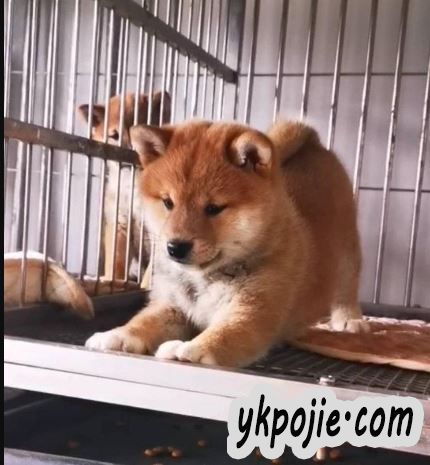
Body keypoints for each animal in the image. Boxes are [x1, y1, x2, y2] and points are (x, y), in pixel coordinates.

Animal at [85, 119, 364, 367]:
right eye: (168, 202)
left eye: (213, 208)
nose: (175, 247)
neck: (206, 277)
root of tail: (314, 144)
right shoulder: (171, 305)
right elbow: (143, 322)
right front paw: (117, 335)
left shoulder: (253, 311)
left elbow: (225, 334)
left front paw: (190, 349)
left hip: (348, 250)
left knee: (347, 287)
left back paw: (351, 320)